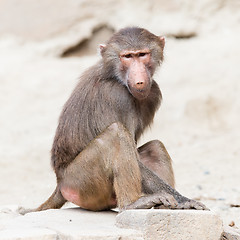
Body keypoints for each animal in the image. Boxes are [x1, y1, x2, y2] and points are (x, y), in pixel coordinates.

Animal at [24, 27, 208, 213]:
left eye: (142, 55)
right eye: (127, 57)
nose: (139, 81)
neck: (115, 76)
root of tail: (60, 183)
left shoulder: (153, 93)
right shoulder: (117, 95)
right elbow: (130, 151)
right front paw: (184, 200)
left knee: (155, 147)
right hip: (80, 181)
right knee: (116, 134)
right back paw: (132, 204)